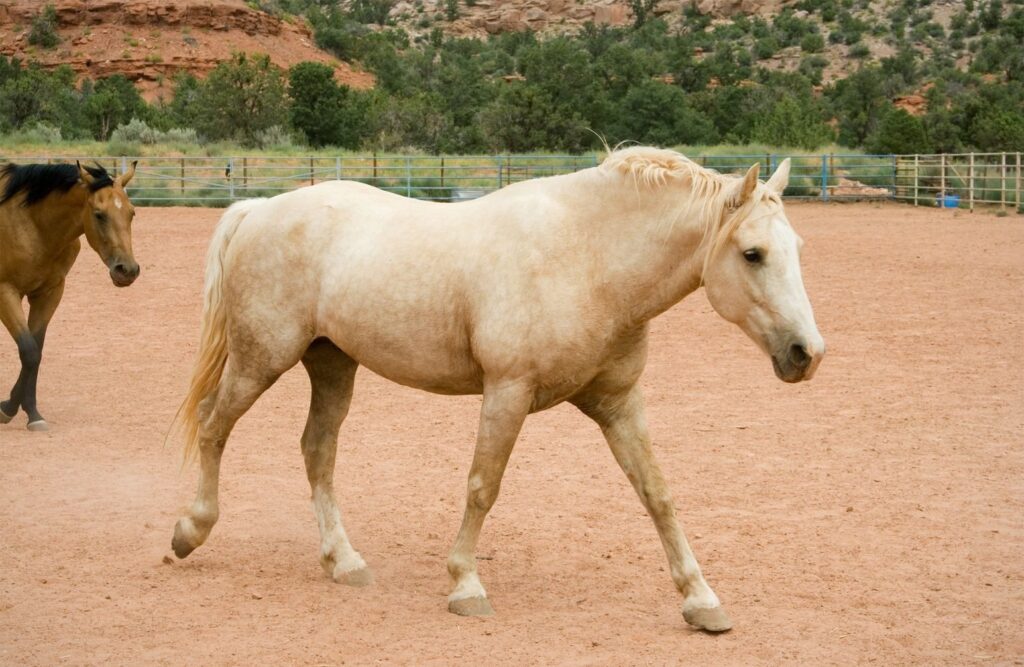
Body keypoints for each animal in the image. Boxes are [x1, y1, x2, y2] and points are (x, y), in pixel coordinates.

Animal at [0, 161, 139, 431]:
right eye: (99, 214)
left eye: (132, 213)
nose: (127, 270)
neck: (32, 223)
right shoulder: (6, 292)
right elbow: (28, 350)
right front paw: (10, 409)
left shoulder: (50, 293)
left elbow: (35, 351)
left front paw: (28, 411)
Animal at [170, 146, 824, 633]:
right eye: (753, 253)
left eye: (796, 250)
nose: (807, 354)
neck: (588, 260)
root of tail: (258, 208)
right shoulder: (508, 392)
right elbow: (484, 486)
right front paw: (465, 585)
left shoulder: (617, 404)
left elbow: (657, 494)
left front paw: (702, 599)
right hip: (261, 360)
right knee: (214, 425)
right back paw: (190, 531)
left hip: (332, 364)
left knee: (317, 451)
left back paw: (344, 561)